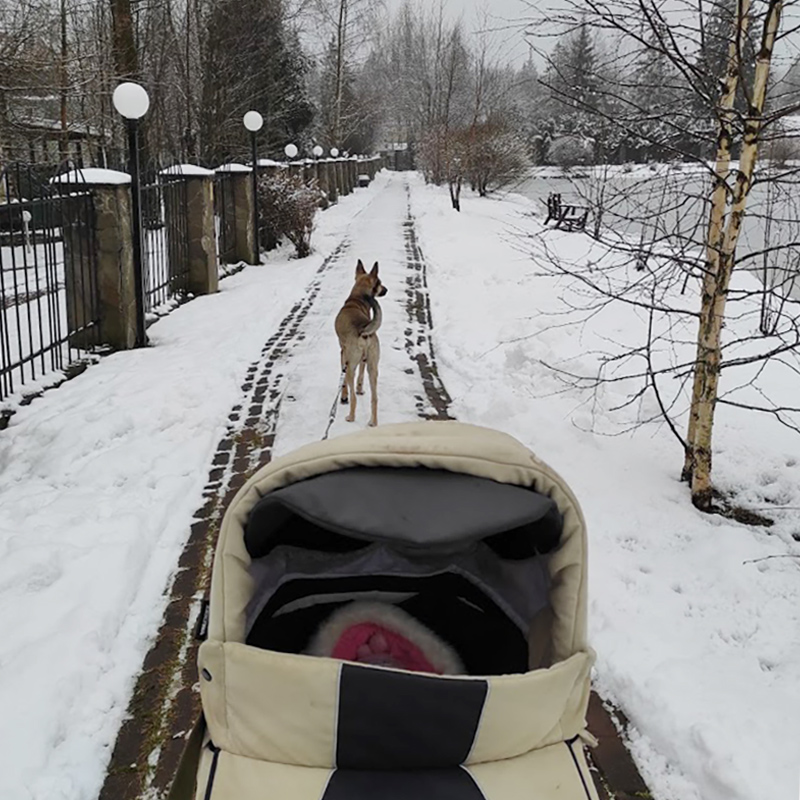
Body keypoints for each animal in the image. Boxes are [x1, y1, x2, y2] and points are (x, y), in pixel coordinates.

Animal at [334, 260, 388, 424]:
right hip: (373, 367)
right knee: (374, 398)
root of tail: (364, 331)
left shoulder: (343, 354)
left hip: (351, 365)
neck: (356, 299)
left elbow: (344, 382)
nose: (386, 290)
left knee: (353, 398)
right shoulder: (363, 361)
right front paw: (360, 389)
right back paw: (373, 422)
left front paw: (343, 396)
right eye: (380, 283)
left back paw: (351, 416)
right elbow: (361, 376)